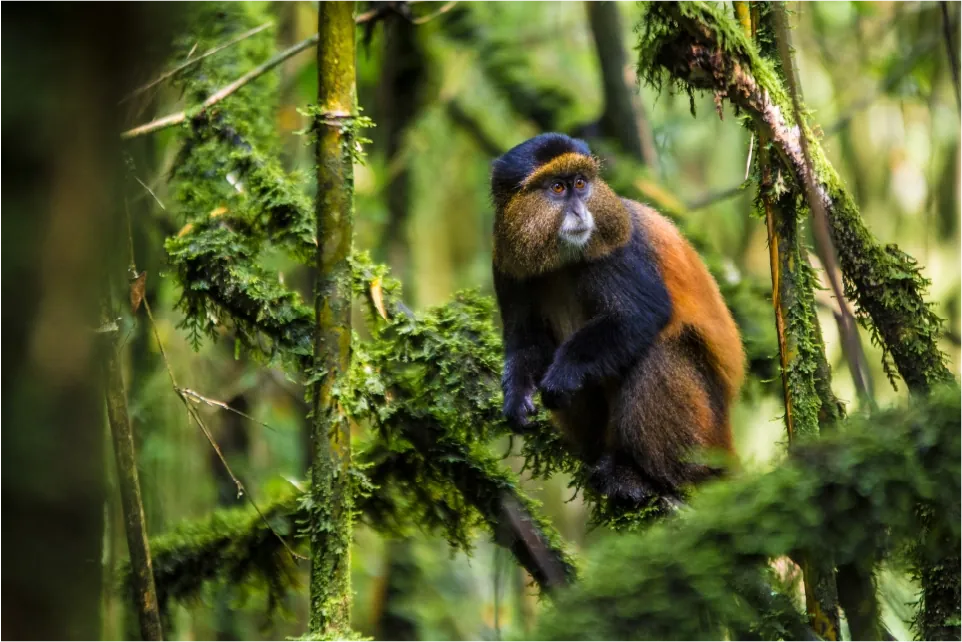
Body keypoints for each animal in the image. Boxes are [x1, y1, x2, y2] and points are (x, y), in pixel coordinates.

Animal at [490, 133, 745, 504]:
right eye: (557, 188)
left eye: (581, 184)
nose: (580, 211)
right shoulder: (506, 265)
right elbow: (526, 341)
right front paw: (516, 398)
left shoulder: (617, 250)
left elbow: (640, 315)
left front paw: (563, 375)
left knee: (658, 351)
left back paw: (643, 476)